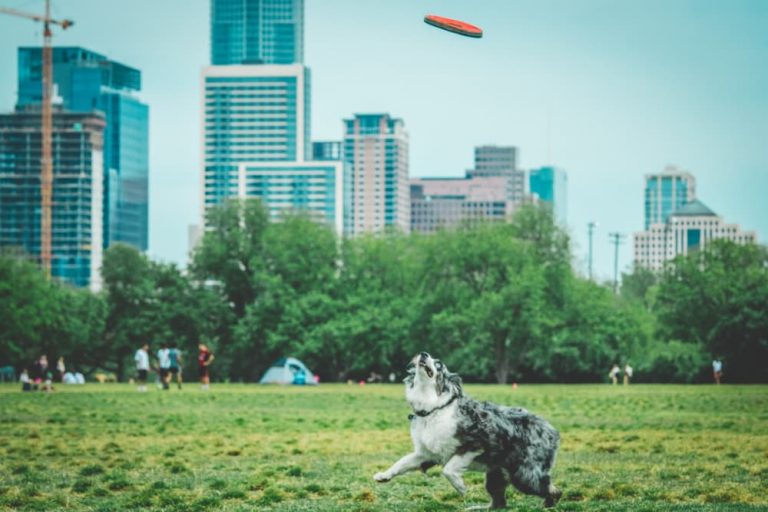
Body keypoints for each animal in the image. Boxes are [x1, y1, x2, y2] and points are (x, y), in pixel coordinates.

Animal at [376, 352, 560, 508]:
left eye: (439, 364)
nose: (423, 354)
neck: (434, 409)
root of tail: (551, 429)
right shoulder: (426, 454)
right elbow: (402, 462)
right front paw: (384, 475)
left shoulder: (474, 444)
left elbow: (448, 469)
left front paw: (461, 487)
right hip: (496, 475)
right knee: (499, 503)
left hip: (524, 475)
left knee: (553, 490)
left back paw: (548, 504)